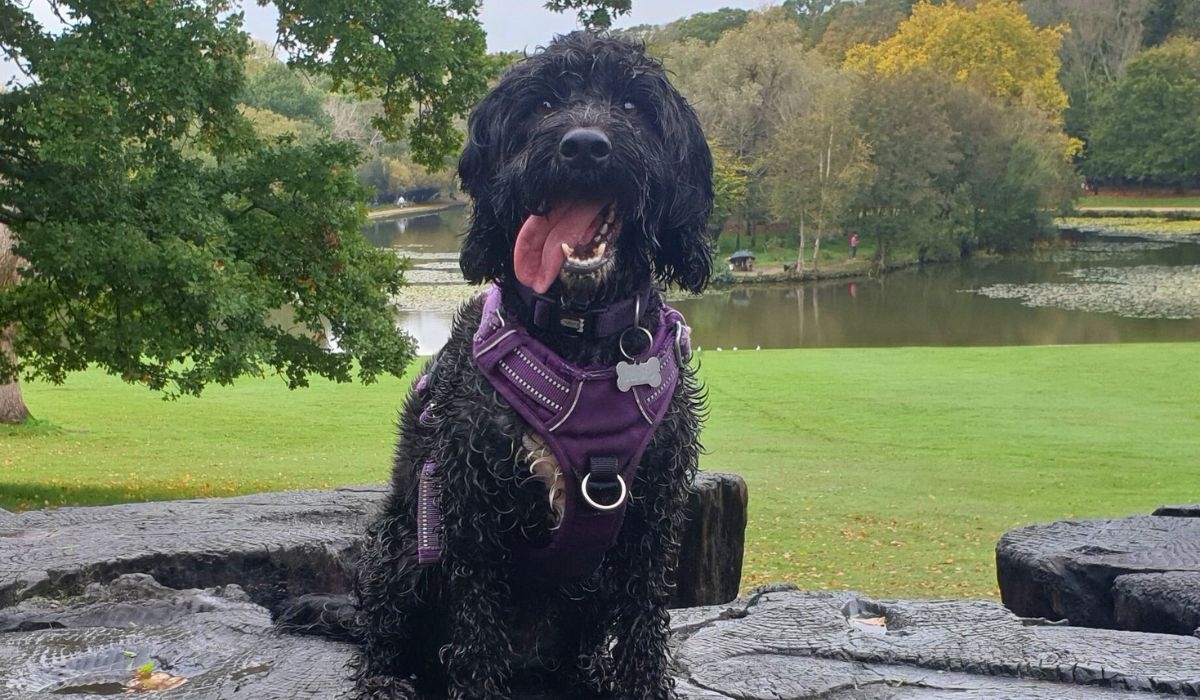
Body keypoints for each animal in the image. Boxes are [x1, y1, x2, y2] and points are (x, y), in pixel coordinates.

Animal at [283, 32, 710, 700]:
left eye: (633, 105)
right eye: (544, 103)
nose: (584, 146)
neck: (577, 342)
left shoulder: (651, 518)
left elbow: (644, 628)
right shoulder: (472, 520)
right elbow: (476, 638)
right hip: (405, 548)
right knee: (383, 636)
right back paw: (385, 680)